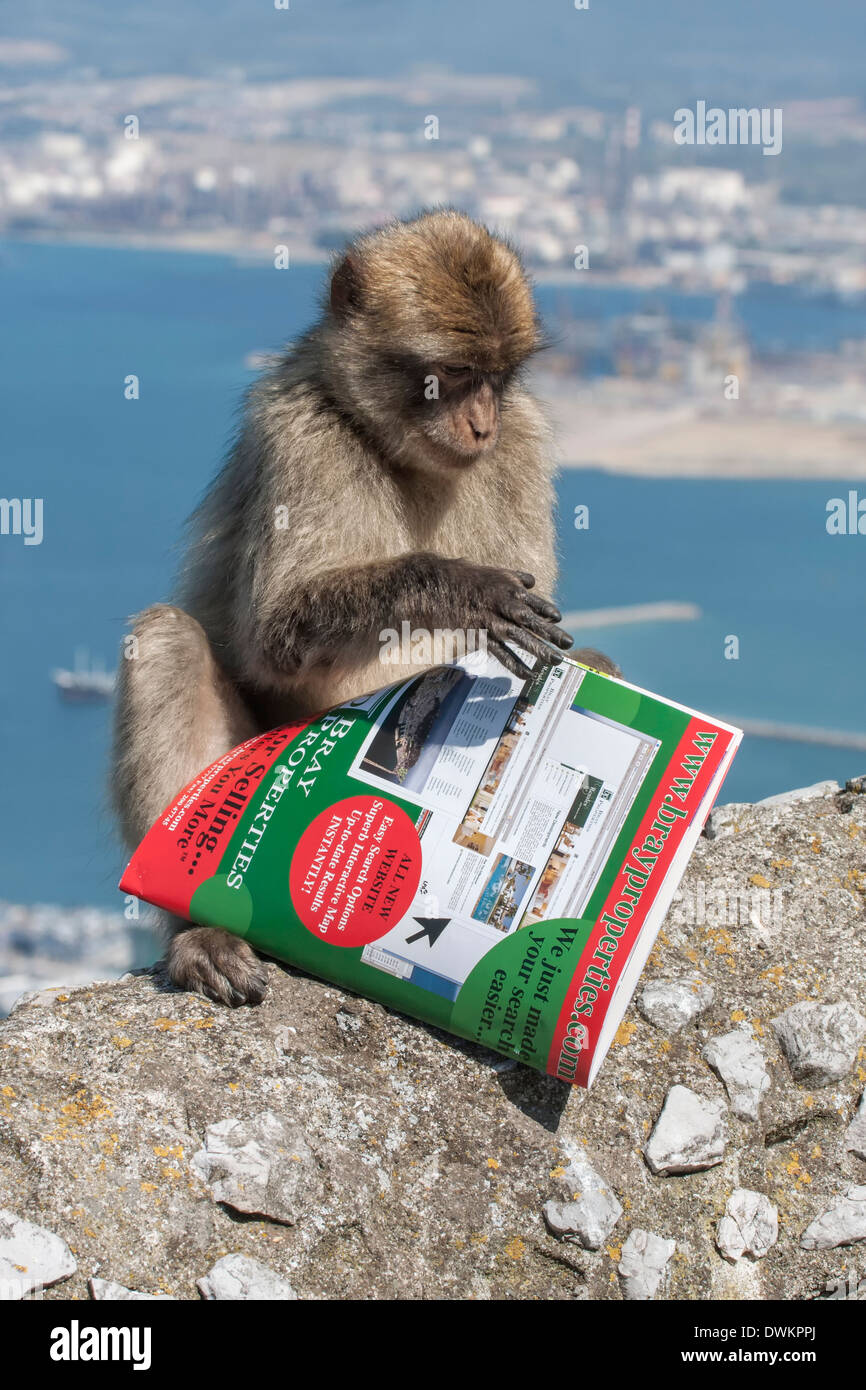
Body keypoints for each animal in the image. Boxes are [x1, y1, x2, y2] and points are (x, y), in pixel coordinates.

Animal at [112, 209, 619, 1007]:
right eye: (454, 375)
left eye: (498, 379)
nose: (483, 425)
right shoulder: (301, 432)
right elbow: (273, 634)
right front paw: (465, 592)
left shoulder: (523, 441)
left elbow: (560, 648)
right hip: (251, 774)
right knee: (168, 640)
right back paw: (200, 926)